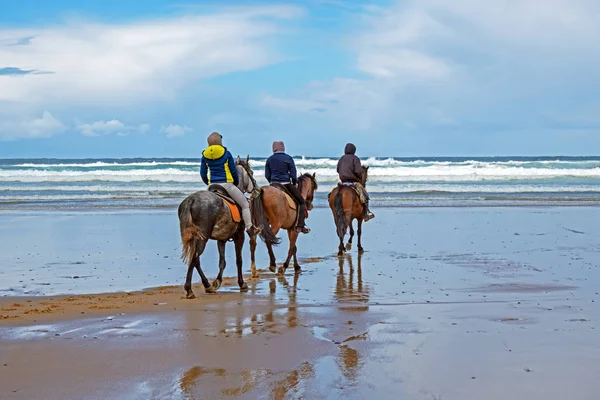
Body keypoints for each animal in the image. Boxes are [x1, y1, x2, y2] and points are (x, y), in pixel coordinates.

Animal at [176, 155, 255, 298]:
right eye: (251, 173)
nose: (257, 188)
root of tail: (192, 200)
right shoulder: (239, 235)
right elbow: (238, 260)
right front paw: (241, 283)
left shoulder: (221, 239)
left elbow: (222, 262)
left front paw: (217, 282)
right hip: (203, 237)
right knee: (195, 258)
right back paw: (190, 289)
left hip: (195, 236)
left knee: (195, 259)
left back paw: (207, 285)